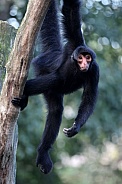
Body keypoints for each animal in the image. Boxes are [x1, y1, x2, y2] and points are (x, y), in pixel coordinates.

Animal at [11, 0, 99, 174]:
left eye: (88, 58)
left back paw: (43, 154)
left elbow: (89, 98)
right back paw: (24, 97)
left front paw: (76, 127)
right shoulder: (74, 43)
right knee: (53, 80)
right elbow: (70, 10)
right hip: (41, 66)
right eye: (80, 58)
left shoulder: (94, 70)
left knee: (55, 110)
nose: (85, 63)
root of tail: (53, 53)